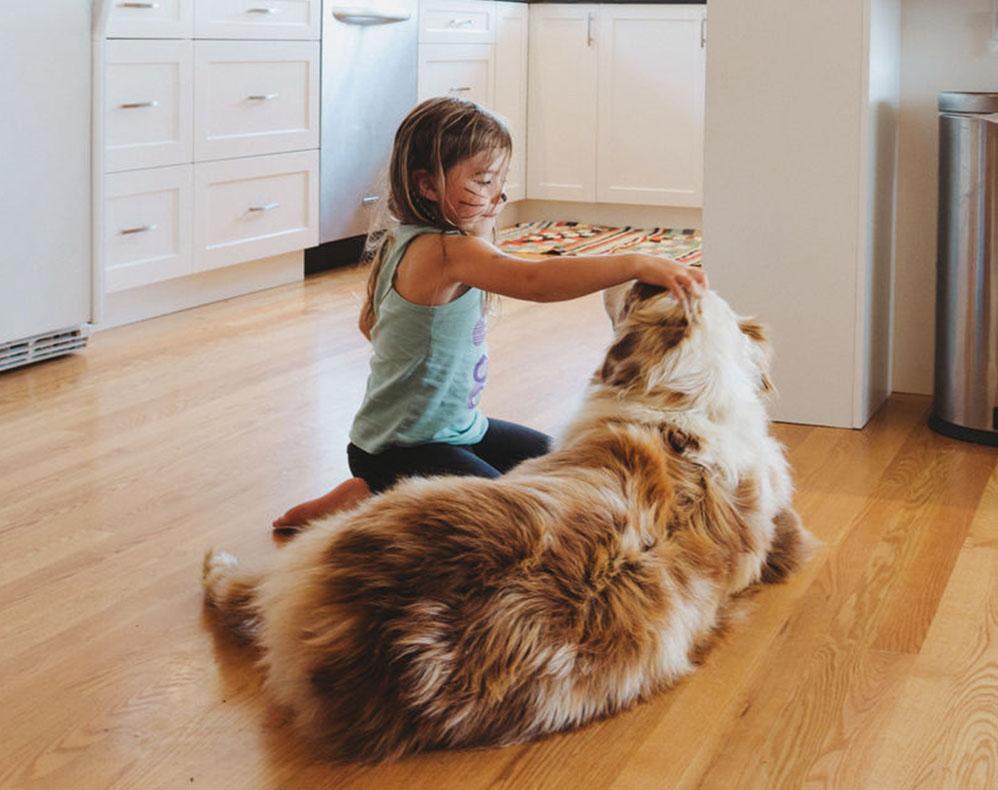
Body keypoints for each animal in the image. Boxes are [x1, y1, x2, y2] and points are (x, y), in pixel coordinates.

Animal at [201, 282, 812, 764]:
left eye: (640, 290)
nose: (628, 272)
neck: (692, 400)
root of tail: (402, 638)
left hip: (368, 517)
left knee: (241, 592)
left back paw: (223, 560)